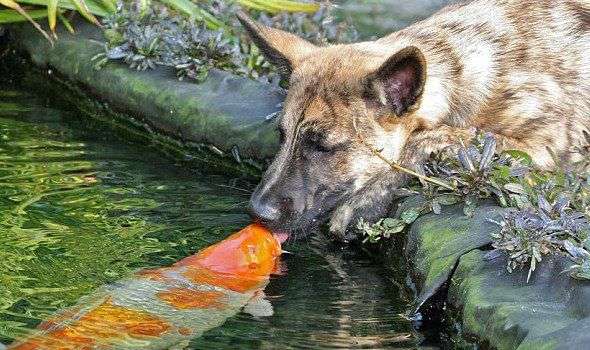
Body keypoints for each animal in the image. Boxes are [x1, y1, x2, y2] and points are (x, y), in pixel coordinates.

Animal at [237, 0, 590, 241]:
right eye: (282, 136)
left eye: (323, 147)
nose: (256, 212)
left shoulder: (547, 152)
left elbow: (428, 139)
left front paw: (364, 203)